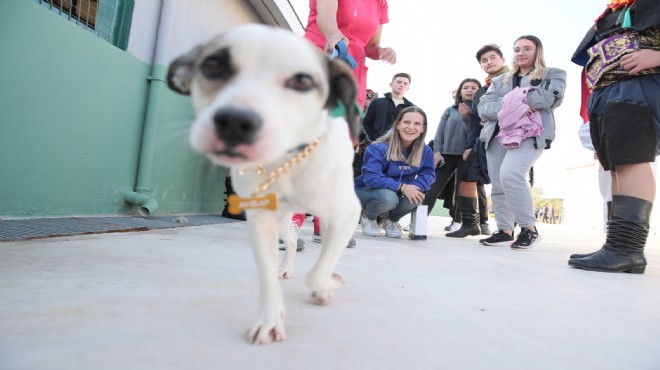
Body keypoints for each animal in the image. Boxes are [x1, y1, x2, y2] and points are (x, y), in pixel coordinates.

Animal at [165, 24, 360, 344]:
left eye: (303, 81)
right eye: (213, 64)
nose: (235, 122)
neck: (285, 163)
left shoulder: (347, 215)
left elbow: (318, 272)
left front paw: (327, 286)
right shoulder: (259, 221)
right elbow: (268, 279)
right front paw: (269, 319)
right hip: (280, 219)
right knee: (291, 239)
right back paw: (285, 268)